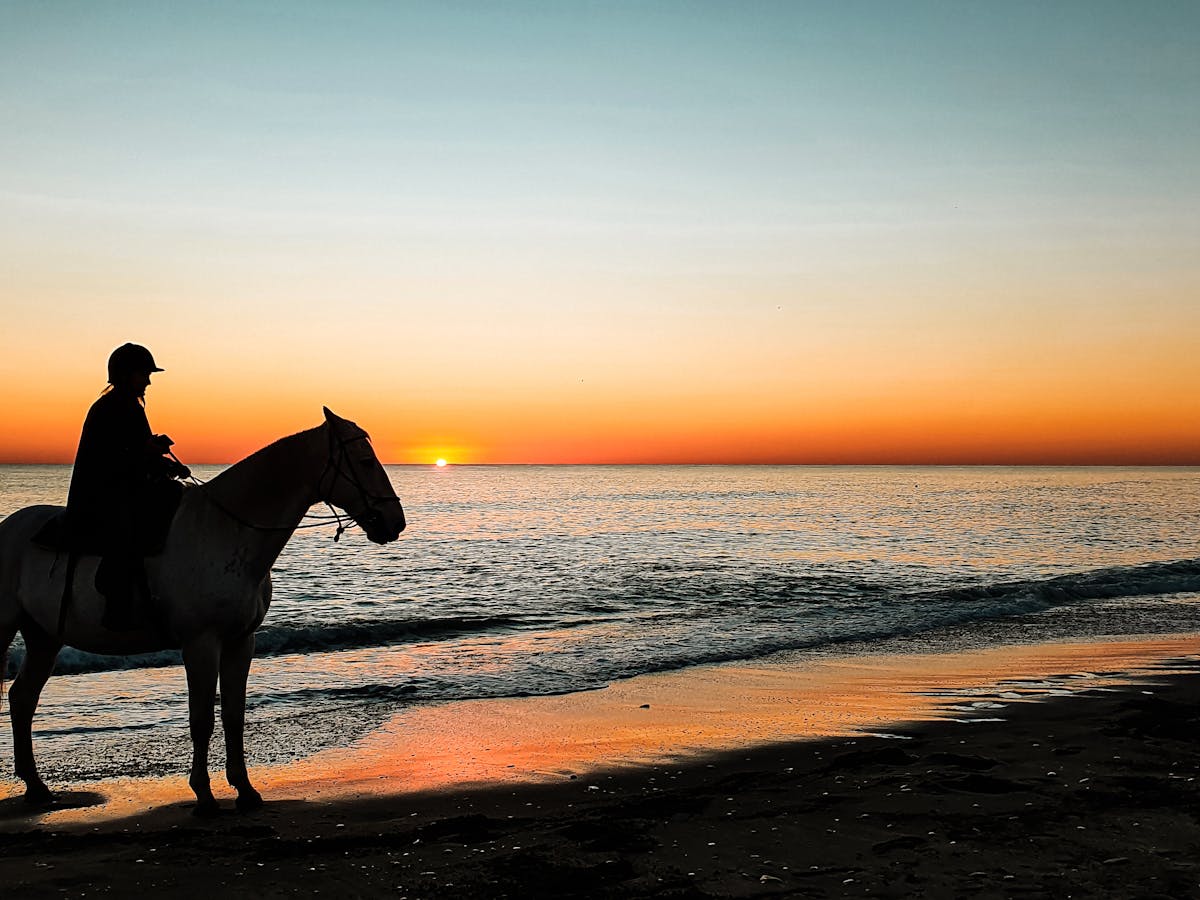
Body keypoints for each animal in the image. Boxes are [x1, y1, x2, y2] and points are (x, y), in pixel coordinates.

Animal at [0, 407, 406, 814]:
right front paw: (205, 795)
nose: (395, 521)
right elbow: (202, 719)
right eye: (366, 461)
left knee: (22, 698)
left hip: (44, 637)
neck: (228, 531)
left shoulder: (241, 642)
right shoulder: (201, 643)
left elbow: (234, 715)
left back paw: (37, 787)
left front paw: (245, 789)